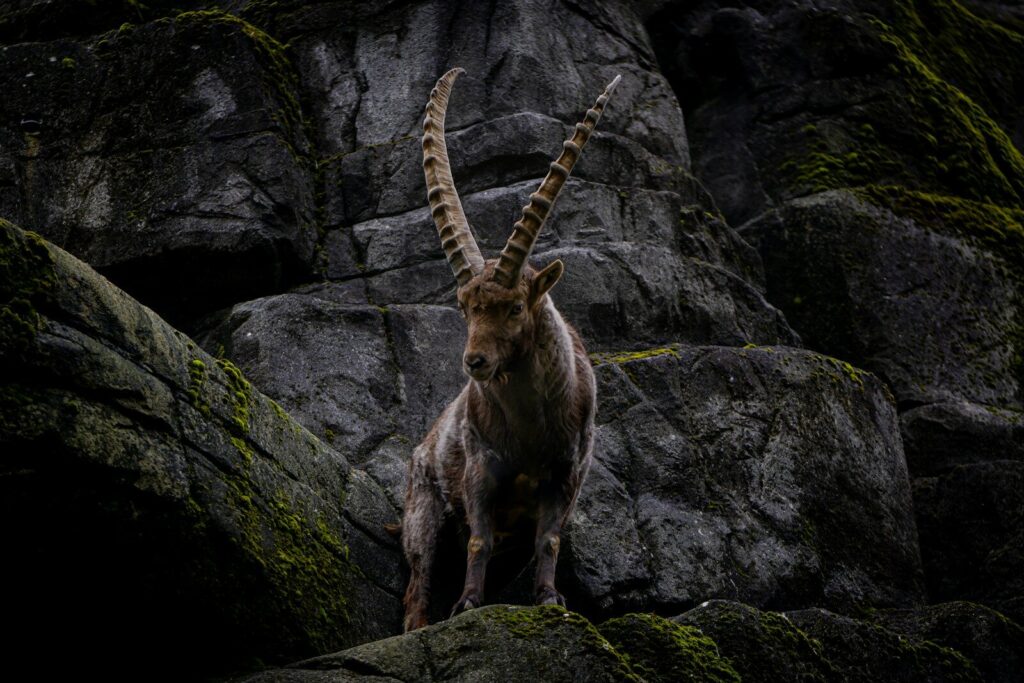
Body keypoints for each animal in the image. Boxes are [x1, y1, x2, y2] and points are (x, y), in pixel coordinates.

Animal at [400, 68, 619, 632]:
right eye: (464, 307)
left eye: (516, 307)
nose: (474, 362)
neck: (530, 430)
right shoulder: (481, 469)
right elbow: (478, 539)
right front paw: (467, 605)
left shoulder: (567, 475)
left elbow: (550, 540)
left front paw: (549, 600)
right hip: (422, 512)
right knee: (417, 585)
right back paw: (425, 622)